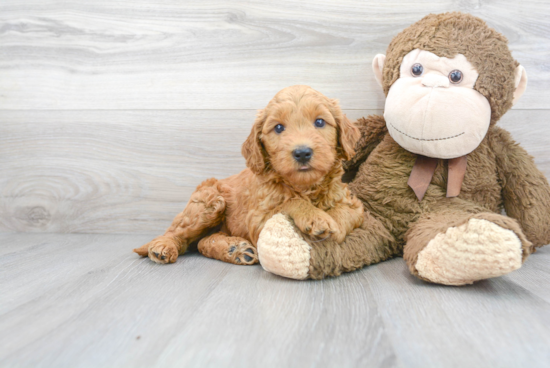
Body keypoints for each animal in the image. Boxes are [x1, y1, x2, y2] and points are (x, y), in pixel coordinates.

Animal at [134, 85, 364, 264]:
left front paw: (333, 226)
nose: (302, 152)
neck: (304, 187)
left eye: (320, 122)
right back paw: (162, 247)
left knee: (202, 242)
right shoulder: (257, 222)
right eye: (278, 128)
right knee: (177, 235)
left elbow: (345, 213)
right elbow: (290, 202)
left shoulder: (354, 205)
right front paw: (316, 217)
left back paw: (235, 250)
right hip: (208, 202)